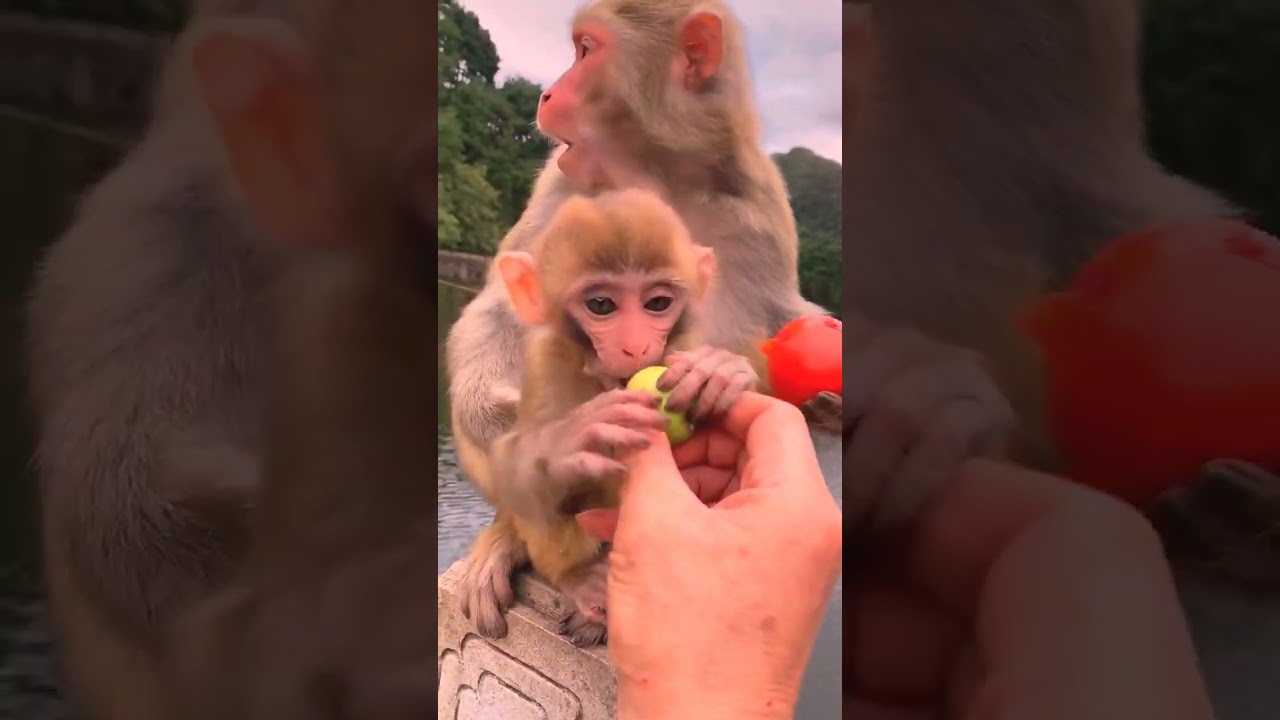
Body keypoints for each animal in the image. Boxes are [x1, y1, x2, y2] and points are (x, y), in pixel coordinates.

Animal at [487, 187, 757, 646]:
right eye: (601, 305)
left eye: (657, 303)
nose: (635, 347)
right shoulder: (546, 361)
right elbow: (511, 473)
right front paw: (567, 441)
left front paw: (721, 370)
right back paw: (580, 577)